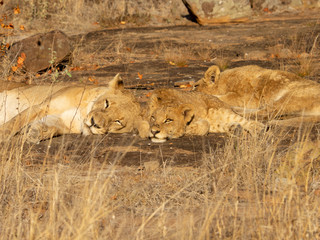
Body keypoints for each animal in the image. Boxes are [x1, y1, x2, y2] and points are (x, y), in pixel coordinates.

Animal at [0, 74, 149, 142]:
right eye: (106, 103)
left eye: (118, 122)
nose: (94, 123)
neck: (83, 112)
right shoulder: (41, 106)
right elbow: (15, 122)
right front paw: (3, 134)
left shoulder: (62, 122)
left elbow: (53, 128)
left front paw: (36, 132)